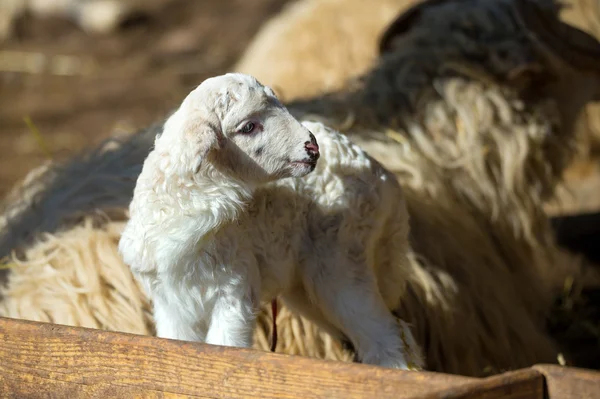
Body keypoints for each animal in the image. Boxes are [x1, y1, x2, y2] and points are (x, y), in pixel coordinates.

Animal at [119, 72, 424, 372]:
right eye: (249, 127)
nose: (312, 147)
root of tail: (381, 175)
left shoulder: (234, 288)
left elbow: (225, 346)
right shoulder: (171, 304)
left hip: (342, 257)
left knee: (385, 335)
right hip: (305, 285)